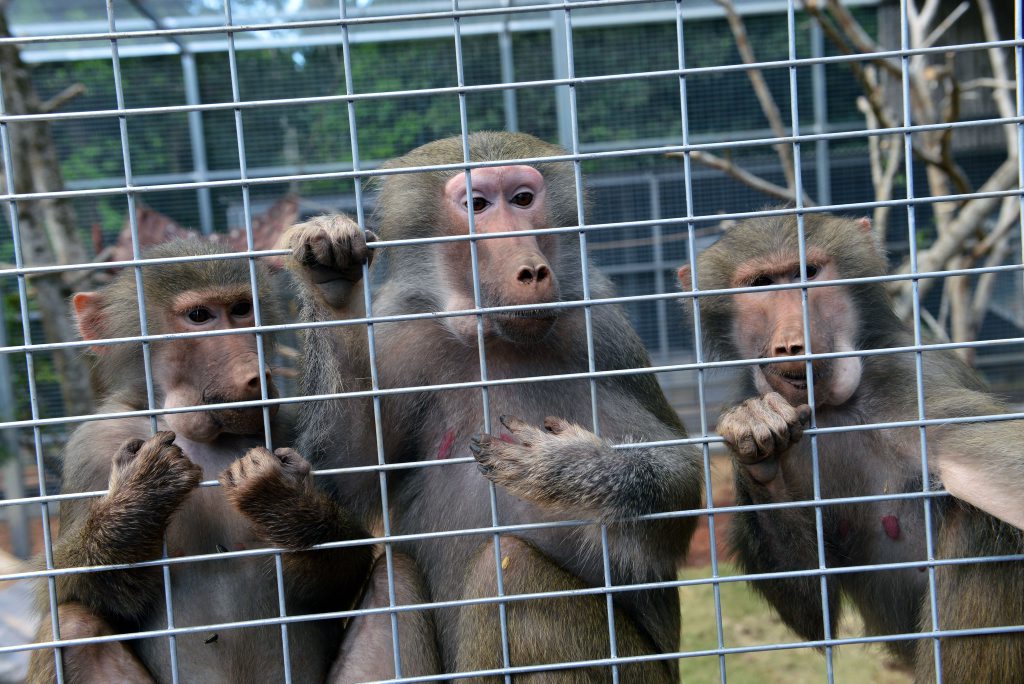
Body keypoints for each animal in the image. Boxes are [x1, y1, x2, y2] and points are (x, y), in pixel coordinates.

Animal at [26, 239, 439, 683]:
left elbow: (346, 564)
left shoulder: (285, 424)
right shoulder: (94, 447)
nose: (256, 376)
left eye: (242, 309)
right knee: (72, 624)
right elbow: (72, 592)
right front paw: (141, 495)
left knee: (398, 576)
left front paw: (284, 500)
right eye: (199, 317)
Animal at [287, 131, 705, 682]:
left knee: (509, 570)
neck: (492, 341)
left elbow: (681, 484)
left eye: (523, 199)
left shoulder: (603, 333)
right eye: (478, 205)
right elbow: (344, 477)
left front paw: (564, 467)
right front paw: (329, 276)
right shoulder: (402, 339)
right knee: (392, 581)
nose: (530, 270)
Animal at [677, 212, 1024, 683]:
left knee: (982, 523)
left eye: (807, 273)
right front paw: (757, 442)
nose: (792, 343)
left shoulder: (913, 385)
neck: (834, 409)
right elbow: (813, 609)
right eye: (760, 283)